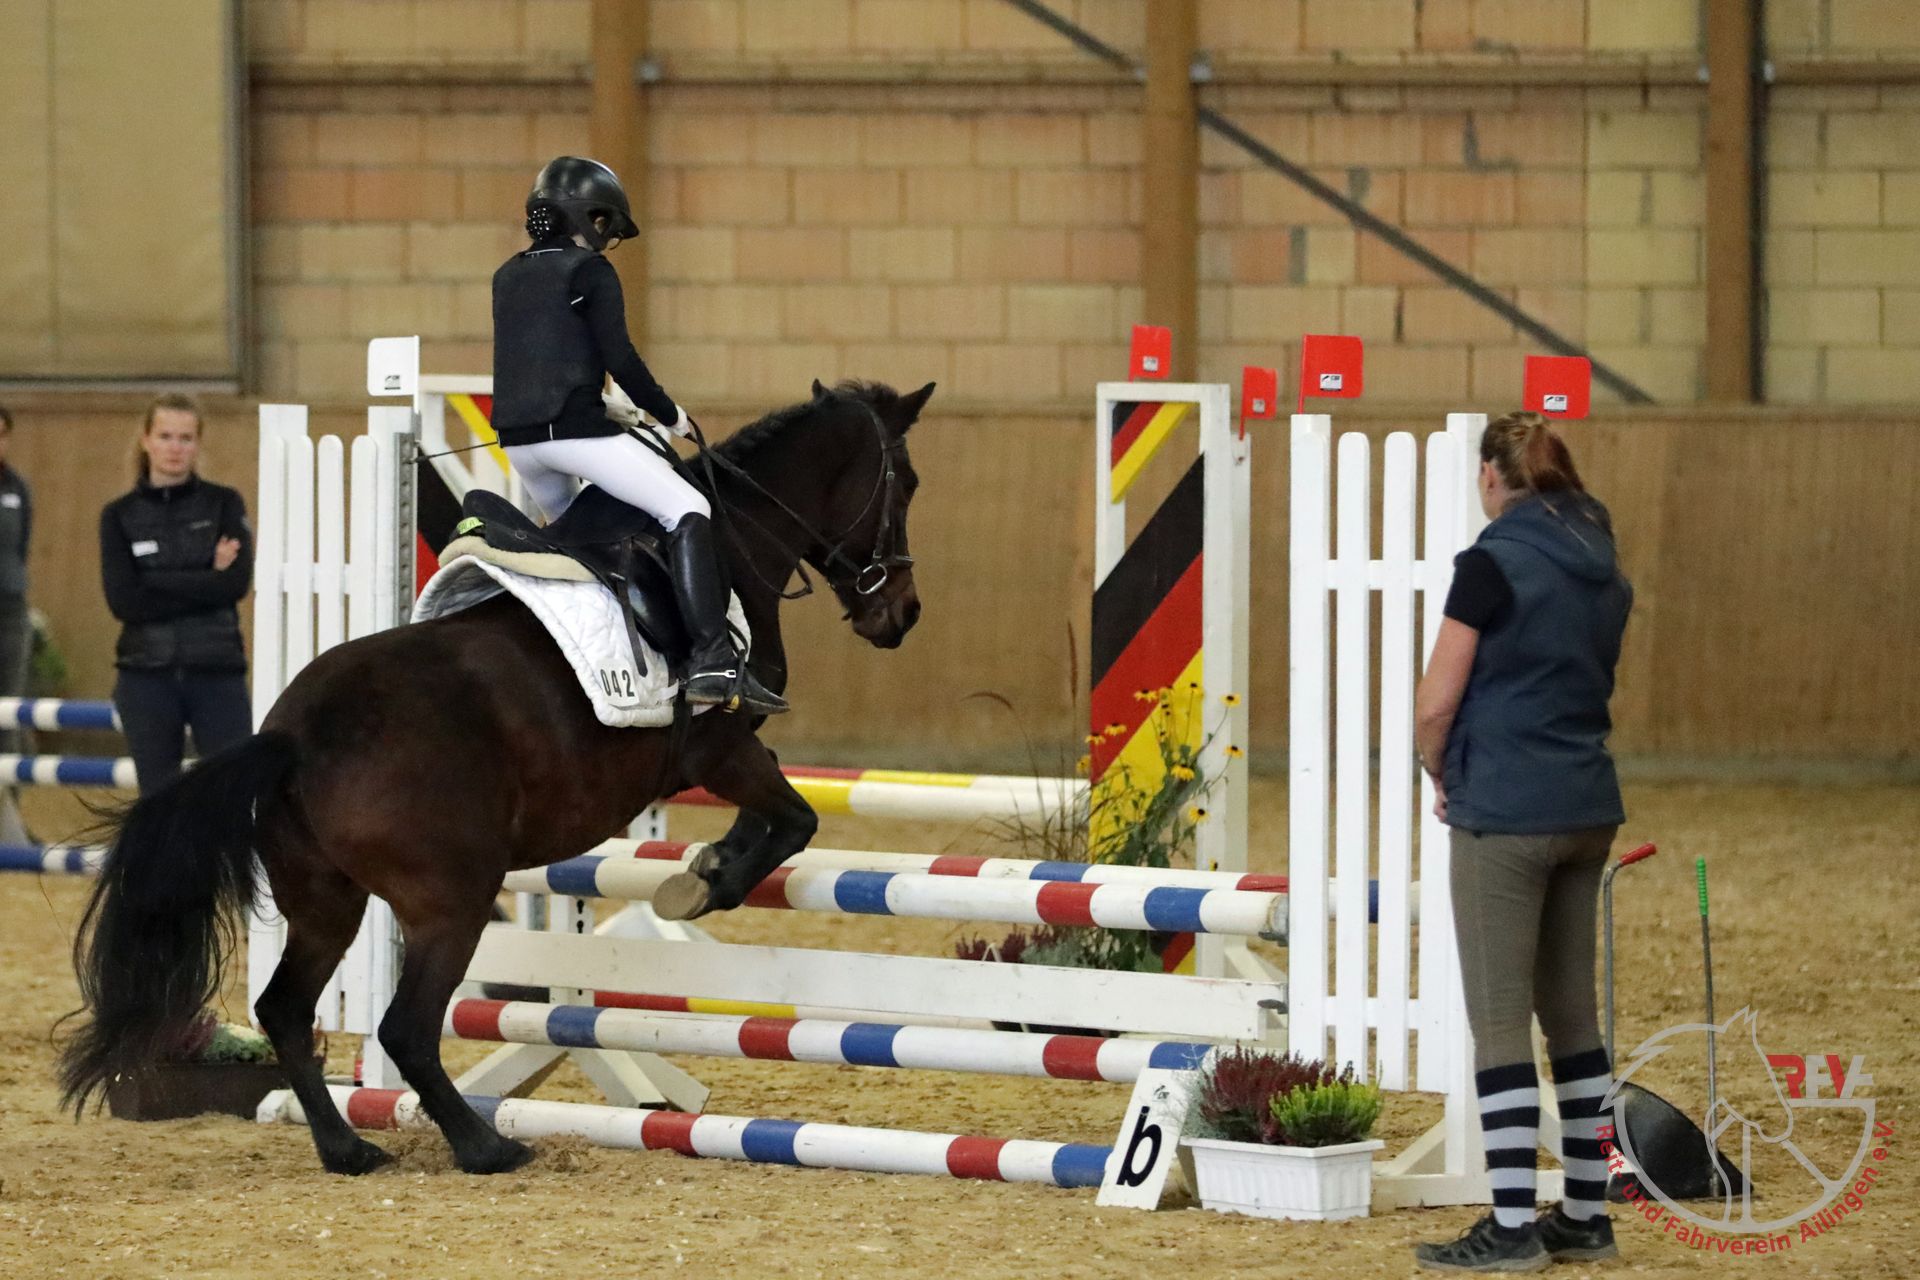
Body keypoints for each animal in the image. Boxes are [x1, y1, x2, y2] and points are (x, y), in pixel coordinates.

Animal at [59, 378, 934, 1177]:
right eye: (907, 482)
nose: (901, 615)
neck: (731, 538)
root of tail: (291, 736)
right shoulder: (718, 746)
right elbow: (794, 818)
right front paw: (706, 880)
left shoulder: (726, 753)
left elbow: (776, 811)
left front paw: (705, 864)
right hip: (452, 898)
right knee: (405, 1028)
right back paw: (485, 1146)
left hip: (326, 900)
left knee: (286, 1010)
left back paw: (349, 1147)